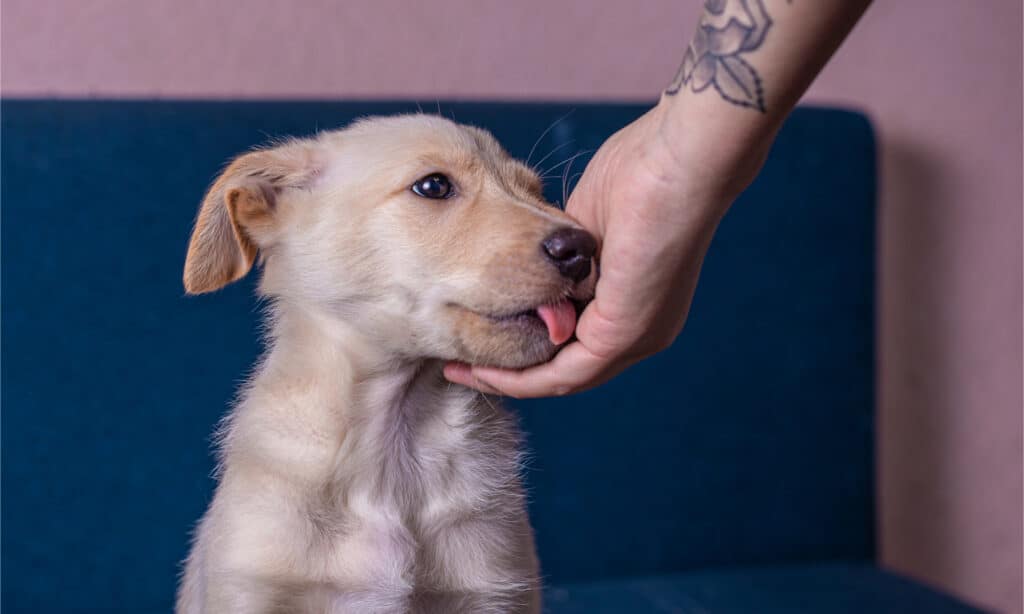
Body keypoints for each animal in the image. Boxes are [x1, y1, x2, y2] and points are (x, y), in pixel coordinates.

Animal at [173, 116, 598, 614]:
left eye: (536, 190)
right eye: (433, 186)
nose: (584, 247)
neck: (397, 441)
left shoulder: (495, 591)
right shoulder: (248, 589)